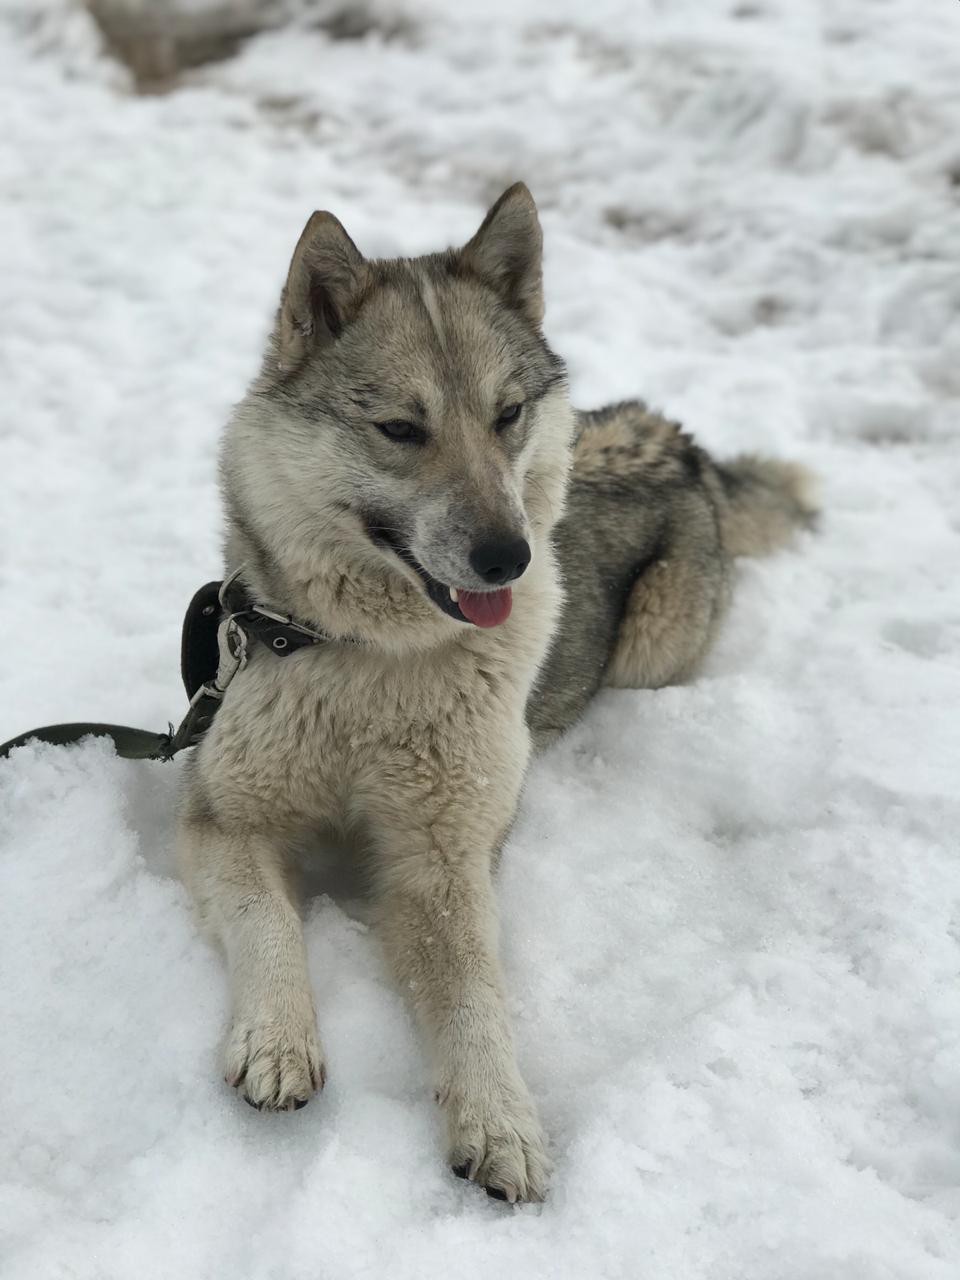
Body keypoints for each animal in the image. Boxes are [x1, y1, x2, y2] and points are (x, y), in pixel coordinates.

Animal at [176, 185, 814, 1203]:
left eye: (507, 414)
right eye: (402, 429)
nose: (506, 557)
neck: (372, 665)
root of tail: (675, 441)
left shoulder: (442, 859)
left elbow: (475, 995)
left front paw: (501, 1124)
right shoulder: (224, 819)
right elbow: (268, 922)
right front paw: (276, 1042)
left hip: (650, 648)